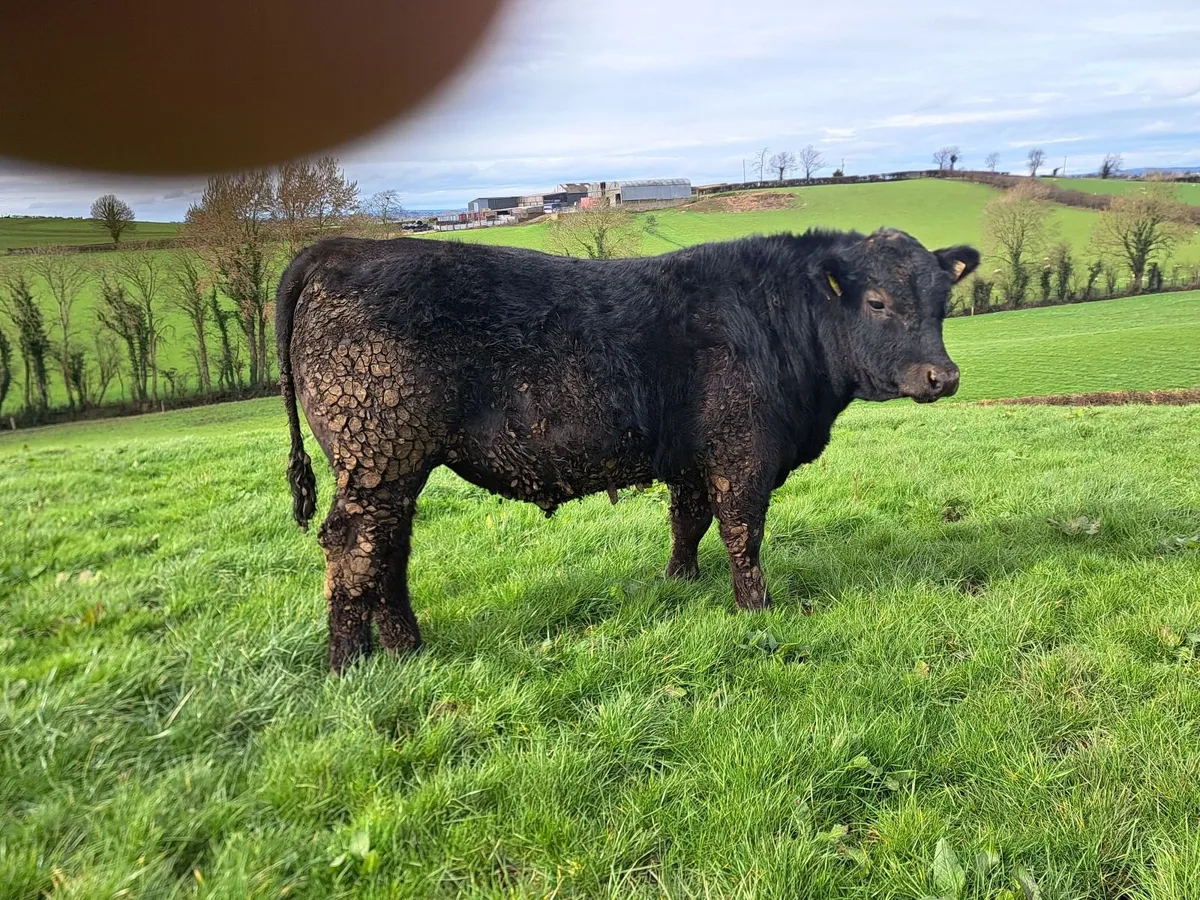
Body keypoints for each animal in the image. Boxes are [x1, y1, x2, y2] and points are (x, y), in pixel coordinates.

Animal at [276, 228, 979, 672]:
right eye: (878, 301)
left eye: (943, 301)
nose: (942, 376)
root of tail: (339, 248)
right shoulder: (742, 453)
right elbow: (742, 531)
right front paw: (755, 608)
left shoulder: (693, 456)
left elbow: (688, 520)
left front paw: (680, 581)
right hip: (379, 454)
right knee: (354, 549)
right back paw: (347, 664)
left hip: (391, 466)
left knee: (386, 549)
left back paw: (405, 648)